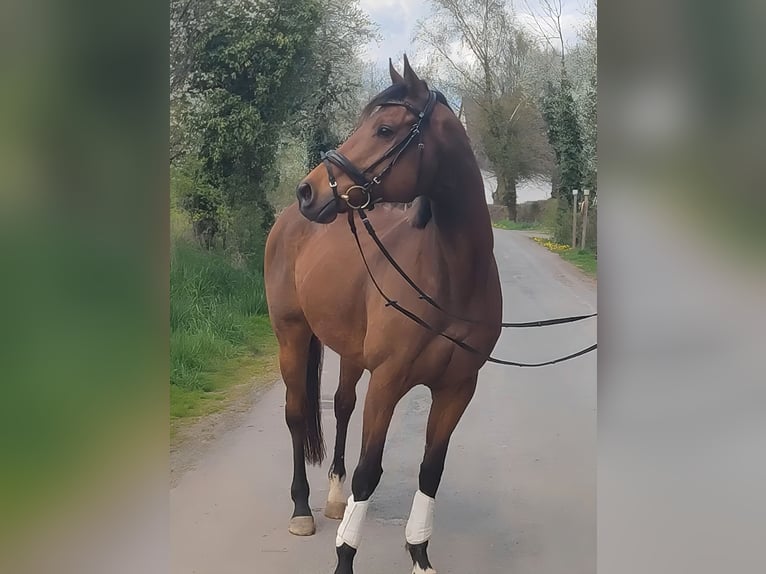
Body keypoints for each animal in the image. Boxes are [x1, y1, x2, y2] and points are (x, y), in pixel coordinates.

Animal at [264, 55, 502, 574]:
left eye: (385, 129)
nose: (309, 190)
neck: (449, 277)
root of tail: (286, 220)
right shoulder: (389, 382)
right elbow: (368, 471)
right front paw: (344, 559)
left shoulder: (458, 389)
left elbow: (430, 470)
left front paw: (420, 556)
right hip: (292, 336)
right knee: (296, 413)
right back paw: (301, 508)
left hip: (351, 352)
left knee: (342, 405)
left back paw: (333, 498)